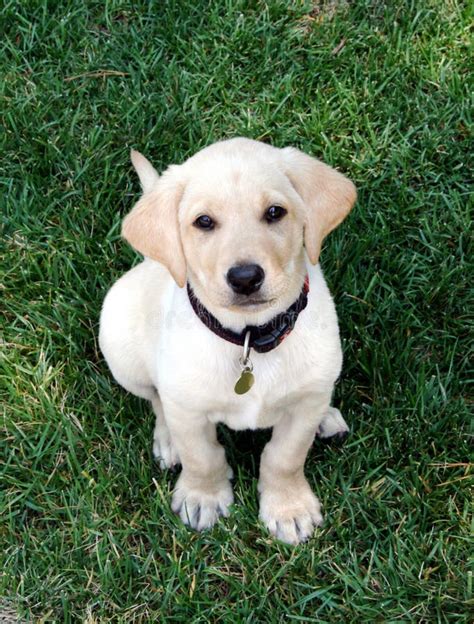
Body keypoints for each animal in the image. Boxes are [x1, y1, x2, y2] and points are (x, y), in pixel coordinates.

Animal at [98, 135, 356, 540]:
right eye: (203, 222)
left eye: (275, 212)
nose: (245, 277)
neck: (250, 338)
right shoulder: (187, 408)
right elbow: (201, 456)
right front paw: (202, 497)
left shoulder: (303, 409)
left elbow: (285, 457)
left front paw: (288, 508)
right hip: (121, 350)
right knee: (156, 399)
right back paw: (168, 441)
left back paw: (326, 418)